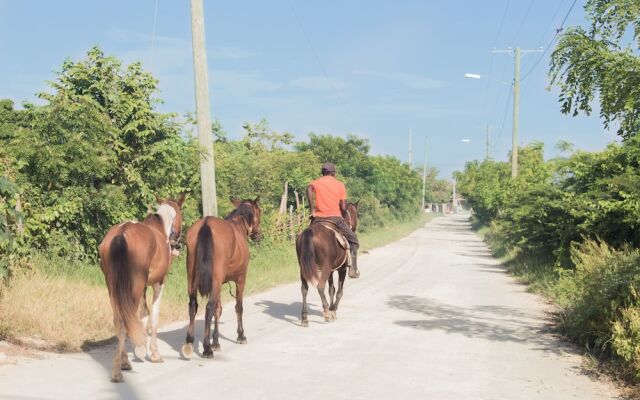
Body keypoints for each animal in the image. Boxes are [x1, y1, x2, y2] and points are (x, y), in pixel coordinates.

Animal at [98, 193, 185, 382]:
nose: (176, 243)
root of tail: (121, 233)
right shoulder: (159, 283)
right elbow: (153, 316)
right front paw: (153, 353)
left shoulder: (144, 287)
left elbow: (143, 314)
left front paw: (141, 347)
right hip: (134, 286)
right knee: (125, 319)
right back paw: (119, 369)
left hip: (113, 287)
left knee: (118, 320)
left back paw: (123, 362)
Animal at [181, 198, 262, 358]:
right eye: (259, 212)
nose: (258, 234)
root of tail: (206, 224)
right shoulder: (240, 279)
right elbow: (238, 307)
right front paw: (240, 335)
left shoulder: (218, 284)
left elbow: (218, 310)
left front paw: (216, 341)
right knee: (208, 308)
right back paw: (206, 348)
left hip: (192, 278)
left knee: (193, 305)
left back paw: (190, 341)